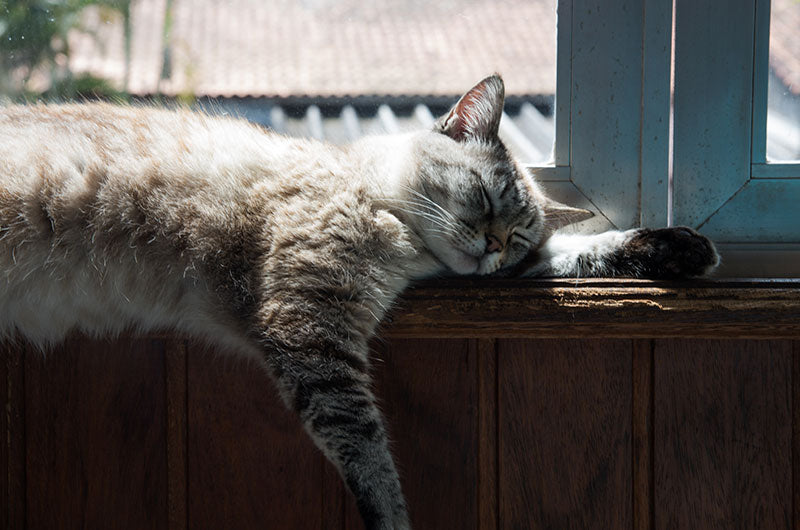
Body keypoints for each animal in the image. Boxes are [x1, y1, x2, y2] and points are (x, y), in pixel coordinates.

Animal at [0, 75, 720, 528]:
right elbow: (370, 454)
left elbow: (582, 250)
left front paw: (682, 250)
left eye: (516, 237)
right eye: (485, 199)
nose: (491, 247)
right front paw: (395, 521)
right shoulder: (311, 325)